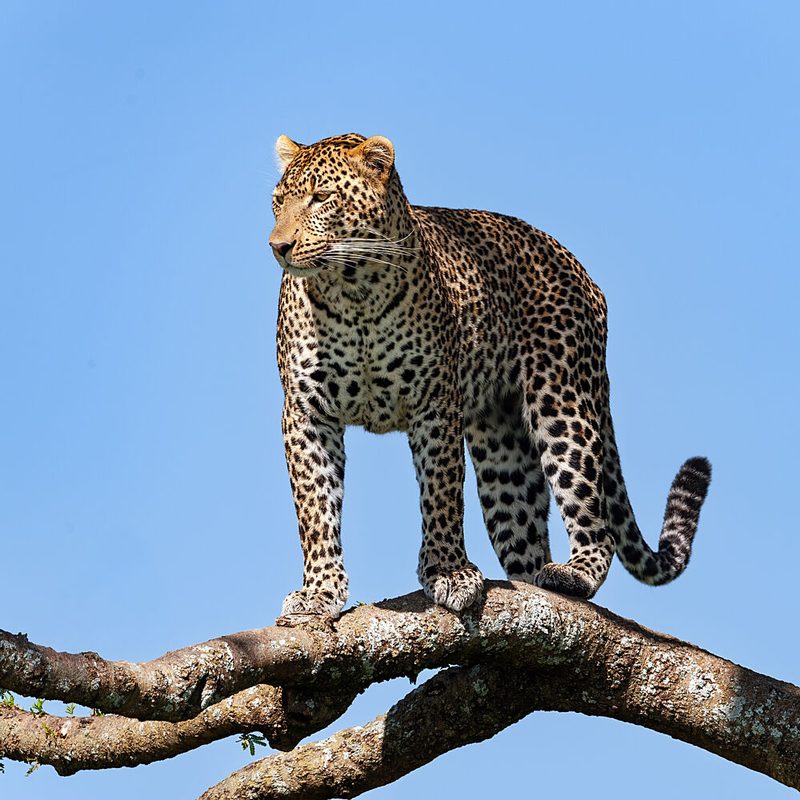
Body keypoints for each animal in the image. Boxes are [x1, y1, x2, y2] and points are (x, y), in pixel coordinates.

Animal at [269, 132, 711, 620]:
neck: (353, 292)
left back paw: (574, 573)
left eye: (321, 198)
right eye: (277, 203)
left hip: (563, 402)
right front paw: (318, 591)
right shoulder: (306, 411)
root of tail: (580, 272)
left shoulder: (435, 404)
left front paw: (448, 572)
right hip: (503, 444)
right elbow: (314, 508)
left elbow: (442, 493)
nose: (278, 245)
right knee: (524, 533)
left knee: (597, 522)